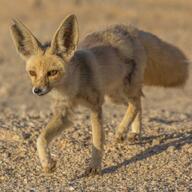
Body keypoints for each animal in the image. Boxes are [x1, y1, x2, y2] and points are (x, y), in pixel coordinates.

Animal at [9, 14, 188, 175]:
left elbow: (97, 139)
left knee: (136, 103)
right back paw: (134, 132)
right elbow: (41, 138)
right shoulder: (64, 113)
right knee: (138, 104)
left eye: (52, 73)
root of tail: (130, 29)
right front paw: (47, 163)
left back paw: (122, 131)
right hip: (114, 95)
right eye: (32, 73)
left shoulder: (96, 106)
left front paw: (94, 167)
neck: (73, 88)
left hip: (124, 90)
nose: (37, 90)